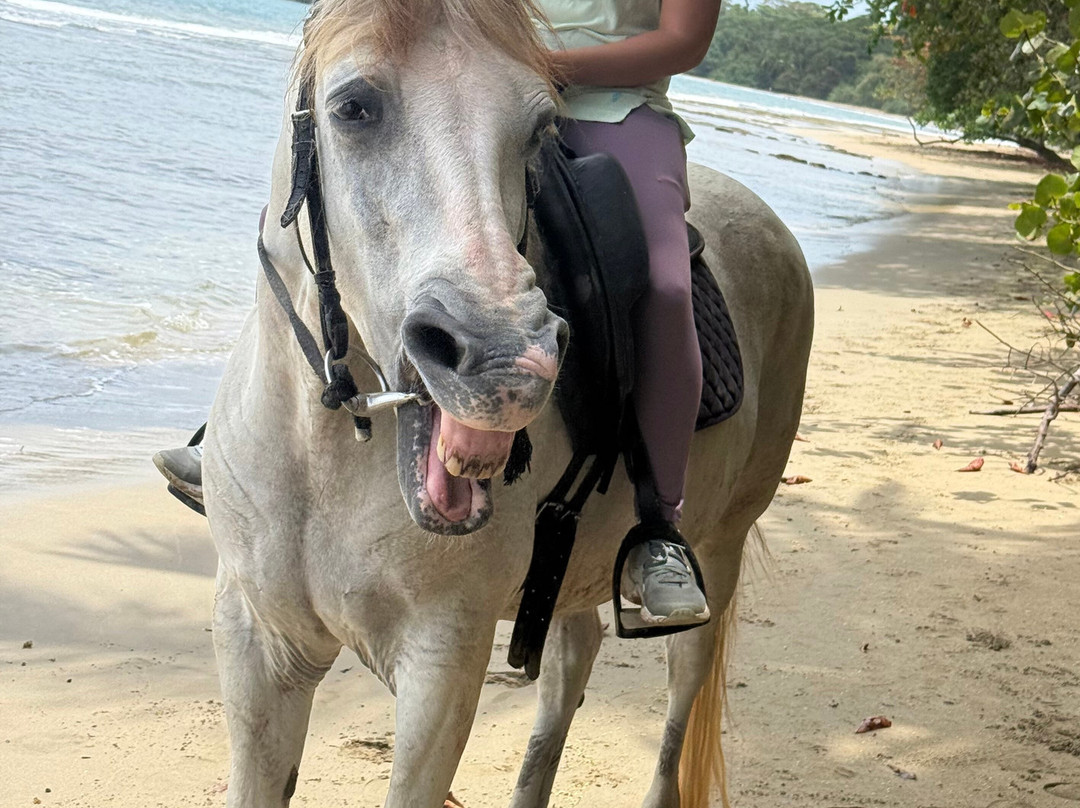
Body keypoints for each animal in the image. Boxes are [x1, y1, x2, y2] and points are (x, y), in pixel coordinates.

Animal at [200, 2, 813, 806]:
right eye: (352, 107)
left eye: (538, 128)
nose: (505, 360)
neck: (329, 446)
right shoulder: (258, 645)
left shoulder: (442, 660)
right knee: (571, 666)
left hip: (719, 549)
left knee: (680, 706)